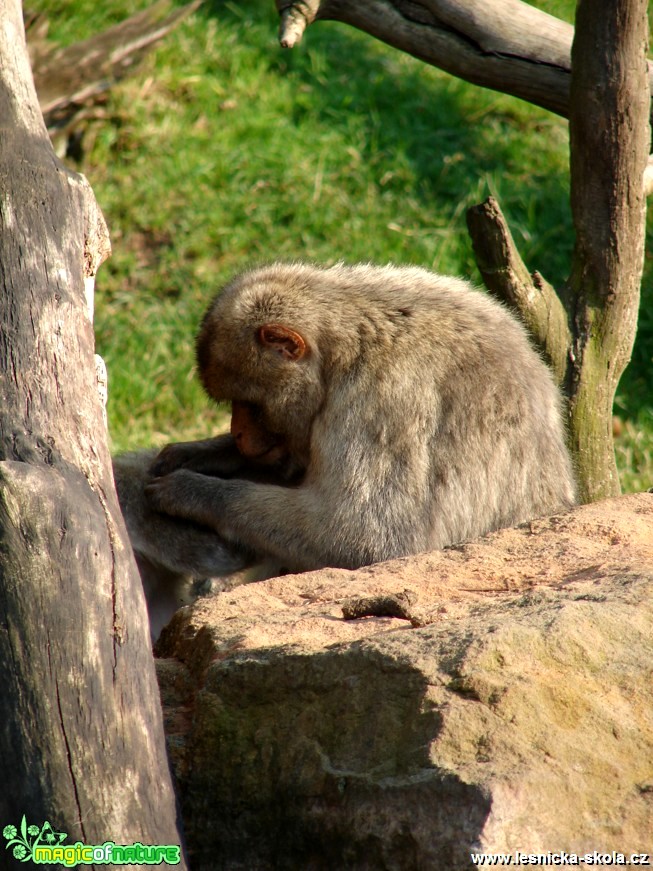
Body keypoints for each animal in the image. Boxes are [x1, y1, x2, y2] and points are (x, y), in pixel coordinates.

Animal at [144, 262, 576, 576]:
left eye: (249, 404)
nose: (237, 434)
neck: (345, 352)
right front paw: (202, 453)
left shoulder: (383, 402)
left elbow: (365, 538)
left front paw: (194, 492)